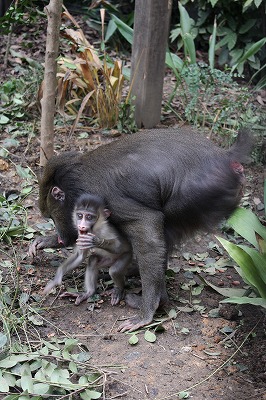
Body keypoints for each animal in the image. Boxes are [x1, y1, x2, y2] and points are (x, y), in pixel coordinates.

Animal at [30, 128, 252, 332]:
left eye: (52, 217)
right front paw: (46, 242)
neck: (75, 180)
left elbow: (146, 223)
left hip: (198, 194)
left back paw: (156, 300)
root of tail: (225, 157)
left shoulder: (102, 196)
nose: (60, 236)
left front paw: (147, 312)